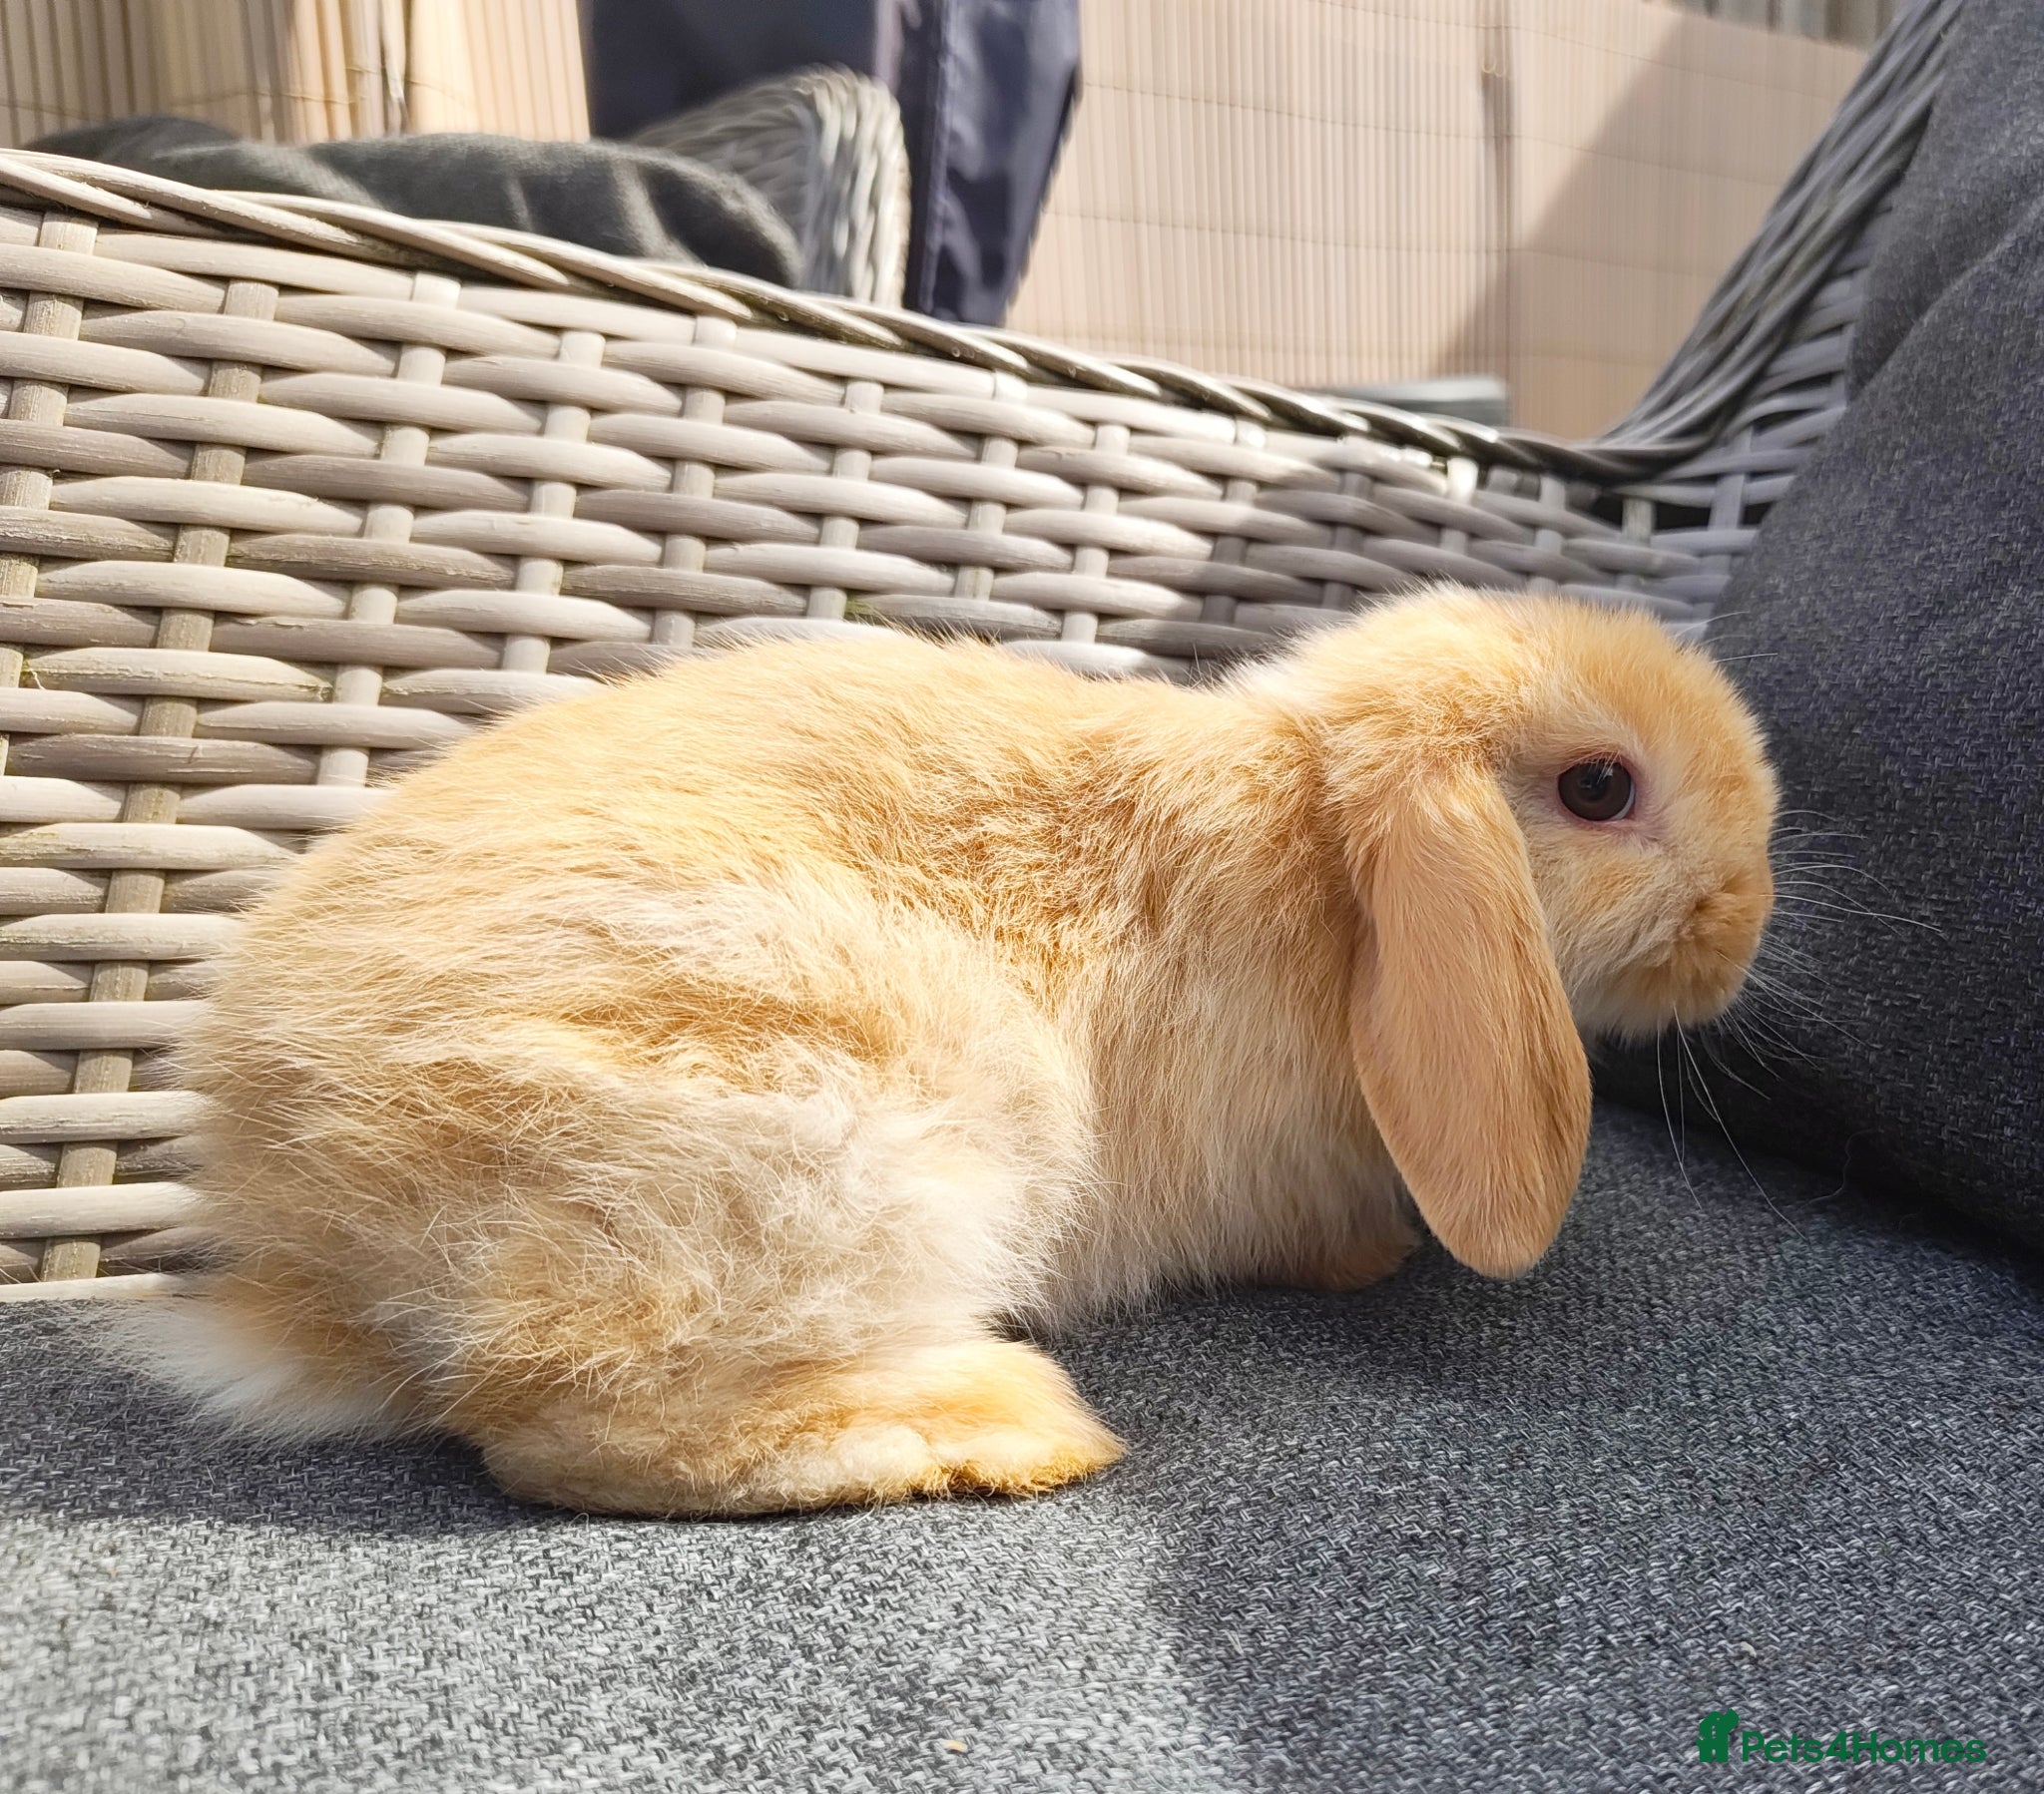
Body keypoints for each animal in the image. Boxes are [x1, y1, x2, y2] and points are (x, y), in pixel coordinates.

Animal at [129, 587, 1776, 1516]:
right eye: (1600, 786)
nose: (1746, 917)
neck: (1325, 863)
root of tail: (310, 1239)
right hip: (852, 1128)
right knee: (565, 1428)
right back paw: (1011, 1427)